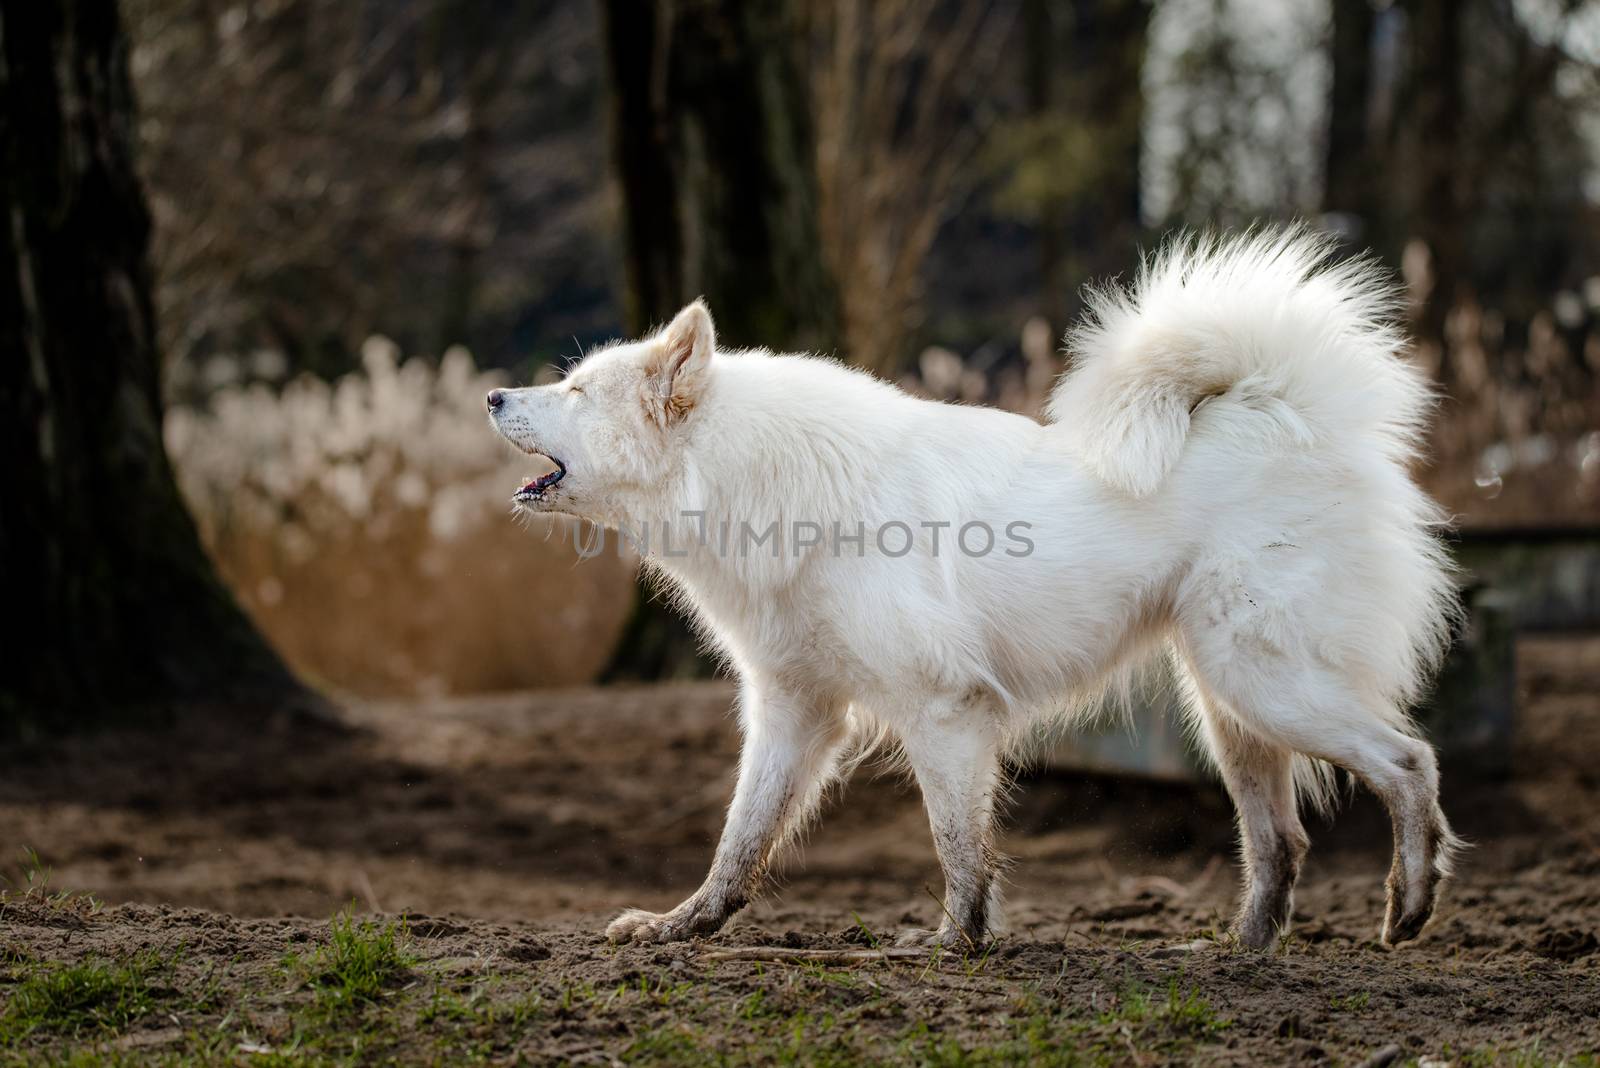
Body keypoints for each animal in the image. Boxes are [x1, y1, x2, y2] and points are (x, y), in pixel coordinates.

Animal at [486, 230, 1465, 946]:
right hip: (1230, 710)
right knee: (1281, 843)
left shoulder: (944, 712)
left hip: (1265, 685)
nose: (493, 395)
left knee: (1411, 763)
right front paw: (681, 927)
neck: (762, 481)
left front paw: (953, 946)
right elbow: (741, 841)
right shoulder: (794, 713)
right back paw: (1239, 951)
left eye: (576, 389)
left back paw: (1410, 906)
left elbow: (958, 846)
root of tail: (1283, 409)